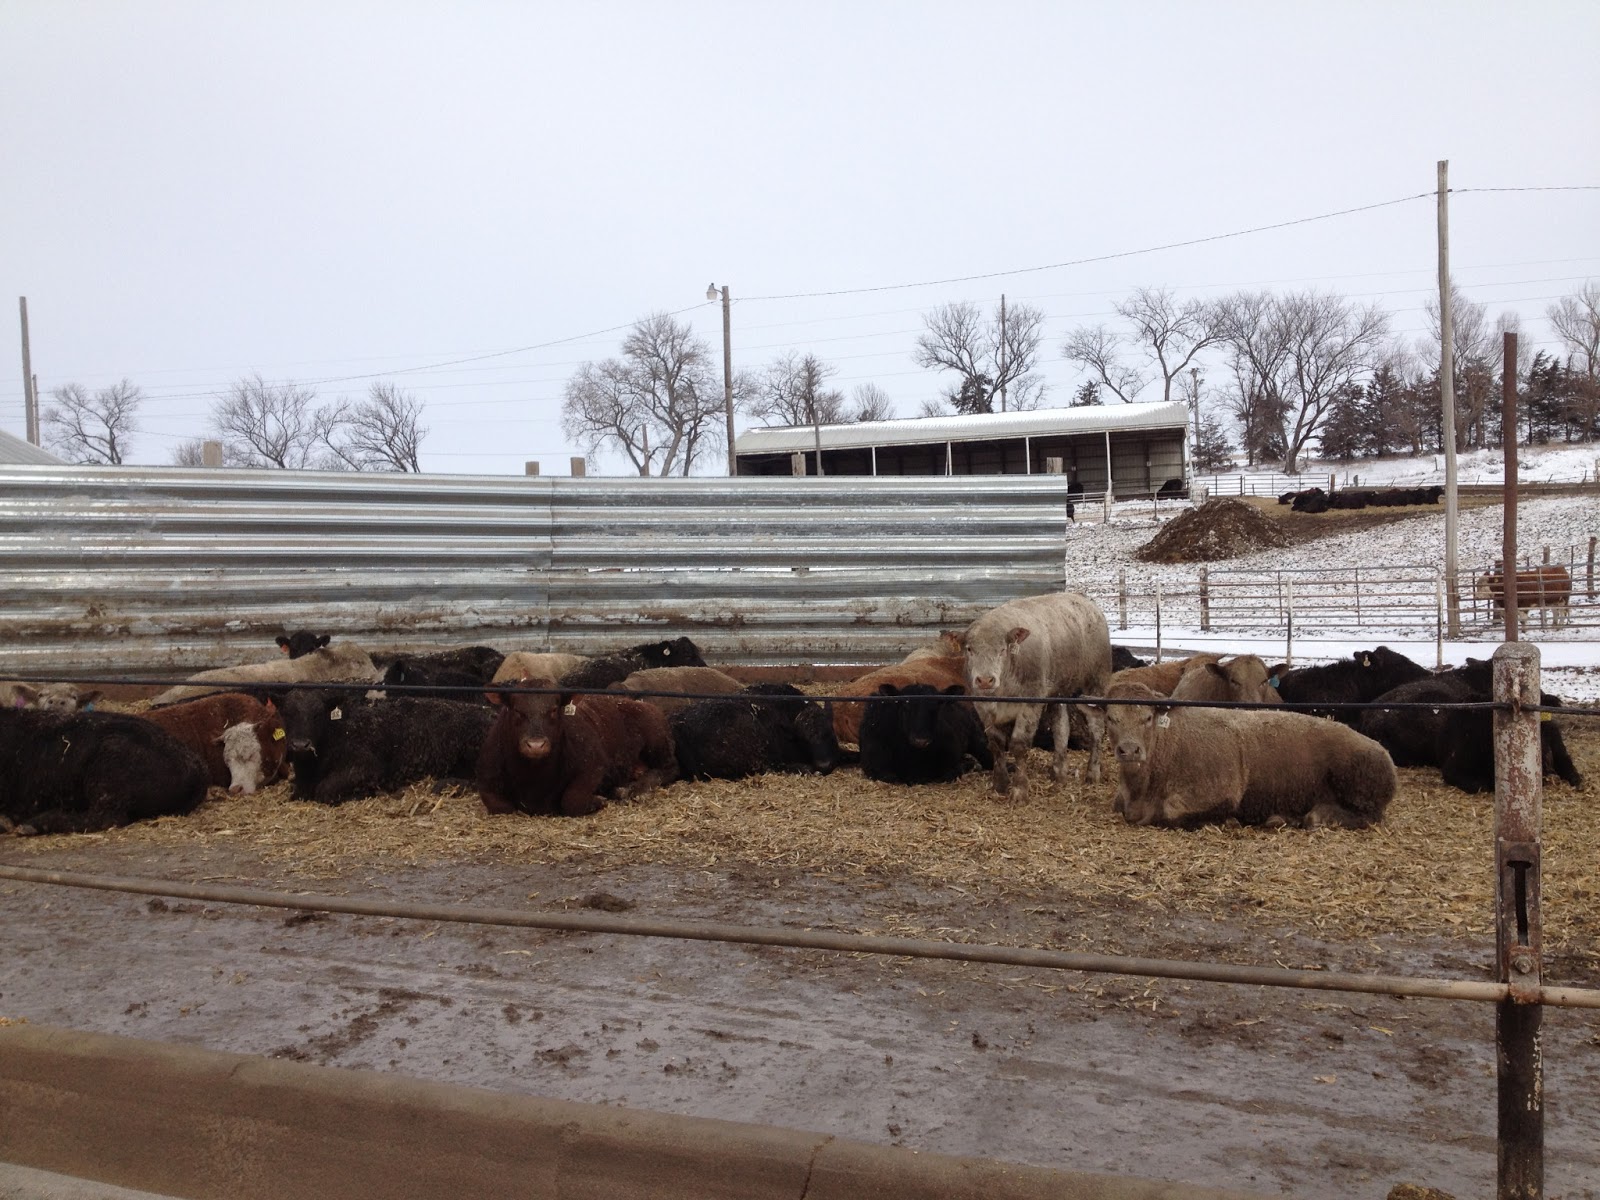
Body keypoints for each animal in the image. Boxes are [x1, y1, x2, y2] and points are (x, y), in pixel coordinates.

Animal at [477, 677, 677, 816]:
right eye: (517, 710)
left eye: (553, 710)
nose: (536, 745)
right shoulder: (487, 780)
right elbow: (501, 806)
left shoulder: (595, 766)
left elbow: (572, 800)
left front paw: (598, 801)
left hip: (657, 741)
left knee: (669, 769)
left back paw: (631, 789)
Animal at [858, 683, 993, 785]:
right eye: (905, 706)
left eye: (937, 706)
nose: (921, 740)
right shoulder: (875, 766)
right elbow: (891, 777)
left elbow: (949, 774)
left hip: (976, 739)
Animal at [961, 591, 1113, 801]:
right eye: (970, 649)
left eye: (1002, 650)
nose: (985, 680)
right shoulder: (983, 706)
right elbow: (996, 743)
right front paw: (1000, 784)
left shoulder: (1031, 702)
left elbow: (1019, 743)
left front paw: (1019, 790)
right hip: (1058, 692)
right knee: (1061, 728)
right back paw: (1059, 772)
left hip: (1096, 682)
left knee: (1096, 728)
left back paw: (1092, 773)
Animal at [1097, 681, 1396, 829]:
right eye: (1111, 718)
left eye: (1148, 718)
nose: (1129, 750)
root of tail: (1381, 750)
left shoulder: (1220, 790)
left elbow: (1168, 813)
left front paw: (1227, 820)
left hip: (1360, 791)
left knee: (1366, 816)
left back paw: (1313, 817)